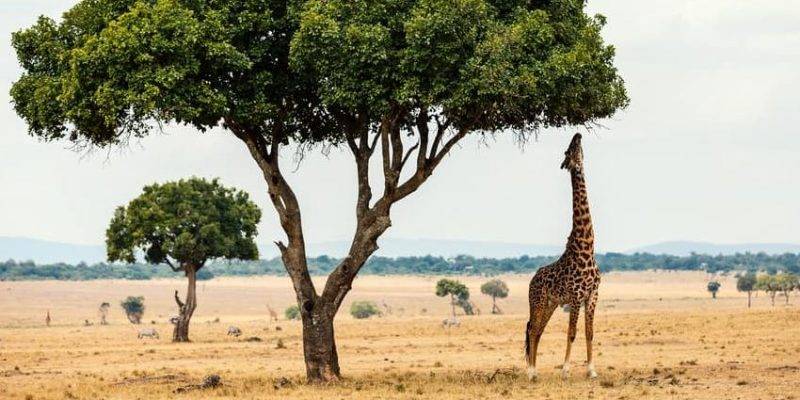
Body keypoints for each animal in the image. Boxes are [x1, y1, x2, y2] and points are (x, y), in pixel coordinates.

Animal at [524, 134, 600, 382]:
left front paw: (591, 370)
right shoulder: (576, 296)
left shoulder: (592, 295)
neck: (586, 248)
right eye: (568, 151)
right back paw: (531, 372)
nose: (577, 135)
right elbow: (572, 332)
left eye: (576, 147)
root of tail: (532, 279)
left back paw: (535, 370)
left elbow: (589, 332)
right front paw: (566, 370)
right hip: (537, 301)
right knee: (532, 329)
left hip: (551, 303)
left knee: (538, 331)